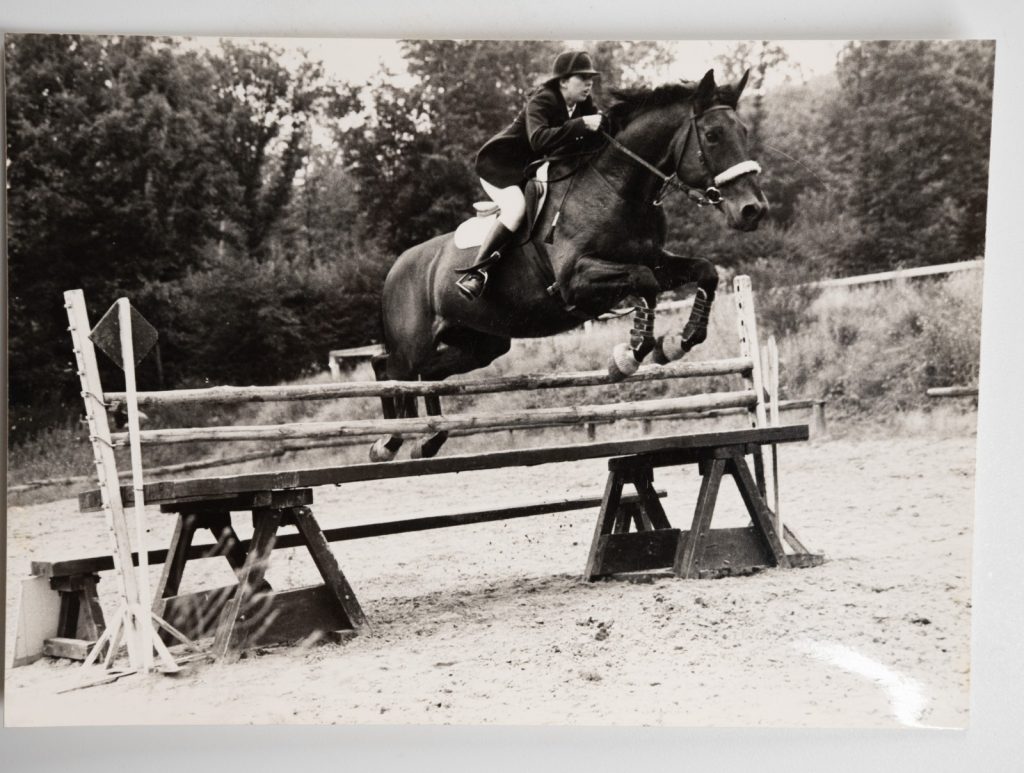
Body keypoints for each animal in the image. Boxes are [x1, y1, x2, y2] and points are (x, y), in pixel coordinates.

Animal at [370, 69, 768, 461]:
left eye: (745, 132)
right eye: (713, 136)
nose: (753, 210)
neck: (617, 188)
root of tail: (394, 270)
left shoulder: (654, 260)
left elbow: (703, 272)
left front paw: (677, 342)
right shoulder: (574, 280)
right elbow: (645, 283)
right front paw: (629, 355)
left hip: (481, 343)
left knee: (427, 374)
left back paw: (427, 439)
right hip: (413, 343)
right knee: (390, 370)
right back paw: (387, 442)